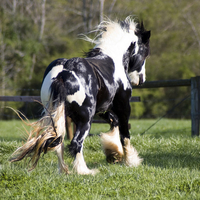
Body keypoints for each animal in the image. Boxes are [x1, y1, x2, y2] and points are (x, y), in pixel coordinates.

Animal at [9, 16, 150, 174]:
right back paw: (84, 171)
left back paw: (64, 170)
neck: (113, 60)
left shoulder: (101, 109)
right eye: (145, 52)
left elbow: (113, 122)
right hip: (85, 118)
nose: (141, 79)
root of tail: (63, 72)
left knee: (58, 141)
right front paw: (129, 161)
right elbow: (124, 134)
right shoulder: (123, 107)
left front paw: (113, 153)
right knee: (76, 142)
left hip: (57, 114)